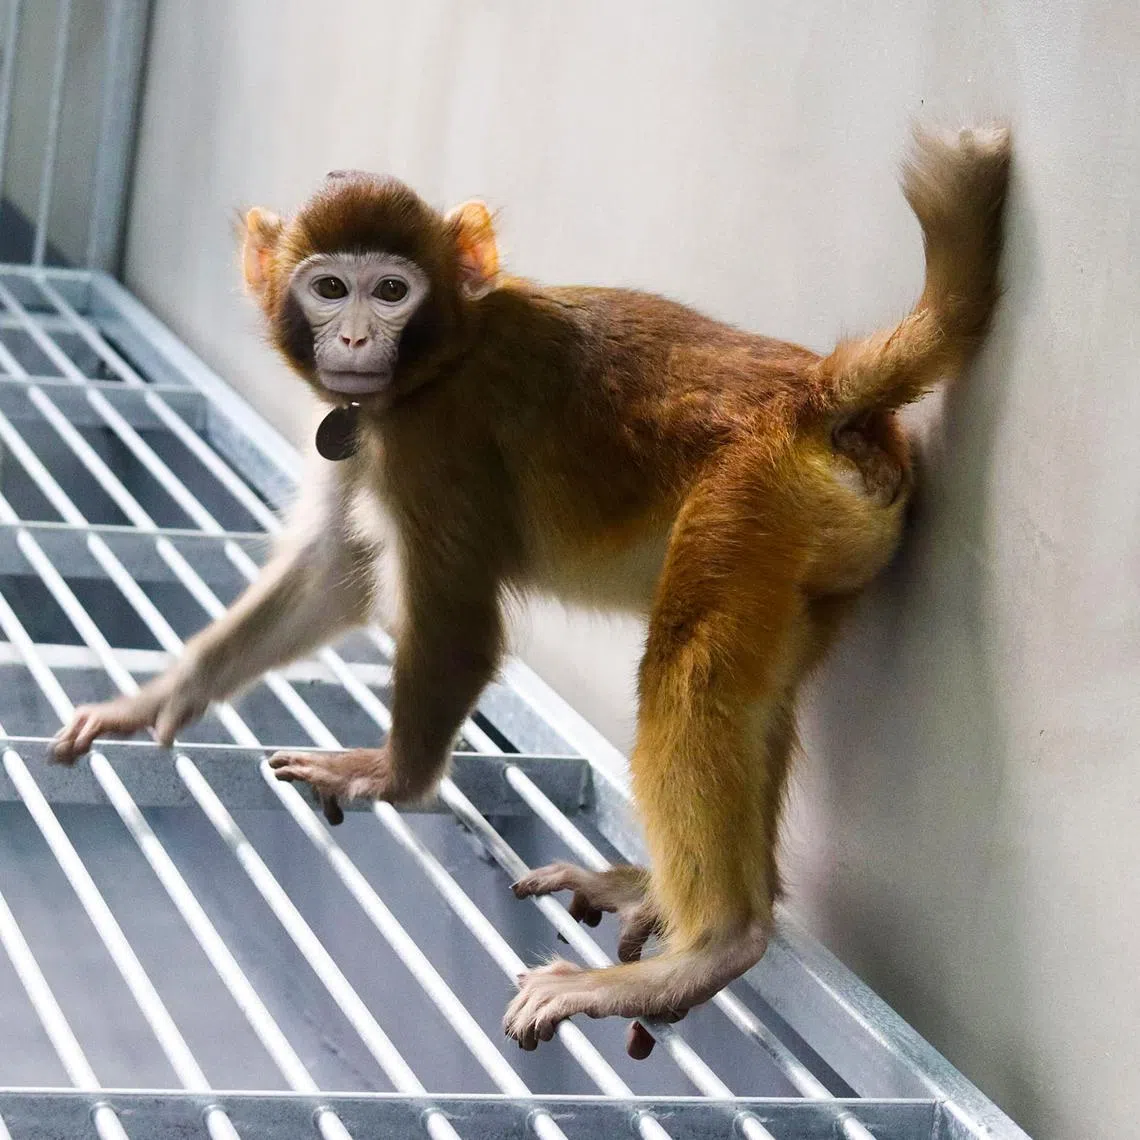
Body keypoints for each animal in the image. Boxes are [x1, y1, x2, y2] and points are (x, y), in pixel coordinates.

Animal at [50, 126, 1011, 1057]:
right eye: (328, 287)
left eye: (390, 290)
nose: (354, 340)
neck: (441, 357)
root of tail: (816, 393)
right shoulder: (370, 431)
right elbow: (333, 571)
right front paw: (155, 700)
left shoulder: (439, 440)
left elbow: (459, 626)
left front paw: (394, 777)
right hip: (812, 547)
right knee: (751, 695)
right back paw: (672, 896)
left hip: (750, 499)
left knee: (690, 673)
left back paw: (711, 945)